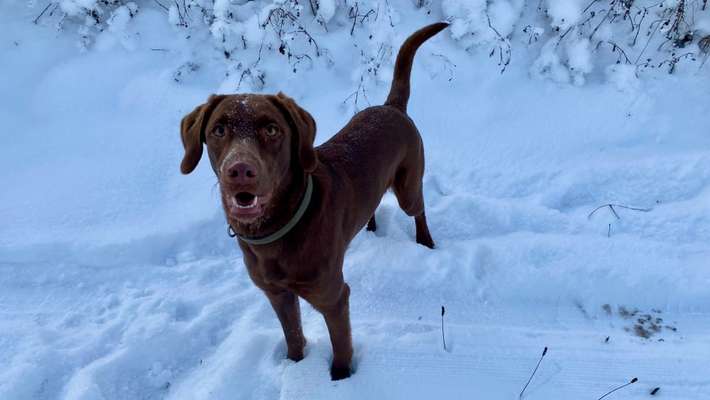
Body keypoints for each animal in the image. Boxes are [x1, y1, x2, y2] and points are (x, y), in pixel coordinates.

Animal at [184, 23, 448, 380]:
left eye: (272, 129)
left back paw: (425, 241)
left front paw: (340, 378)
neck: (277, 231)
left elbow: (342, 346)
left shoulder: (334, 297)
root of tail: (391, 106)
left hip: (408, 185)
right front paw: (295, 364)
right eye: (219, 129)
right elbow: (293, 335)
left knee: (418, 209)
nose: (239, 171)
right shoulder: (277, 294)